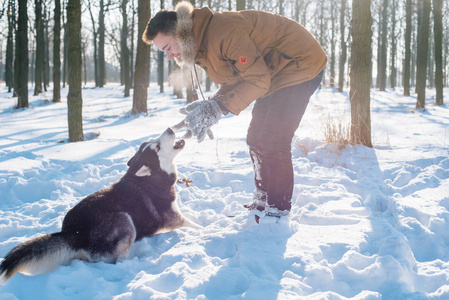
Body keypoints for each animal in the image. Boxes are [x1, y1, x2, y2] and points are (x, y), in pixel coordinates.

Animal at [0, 127, 197, 282]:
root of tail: (73, 232)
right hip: (124, 219)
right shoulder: (174, 219)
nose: (170, 129)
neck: (152, 178)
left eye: (153, 141)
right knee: (120, 258)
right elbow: (195, 226)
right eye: (157, 146)